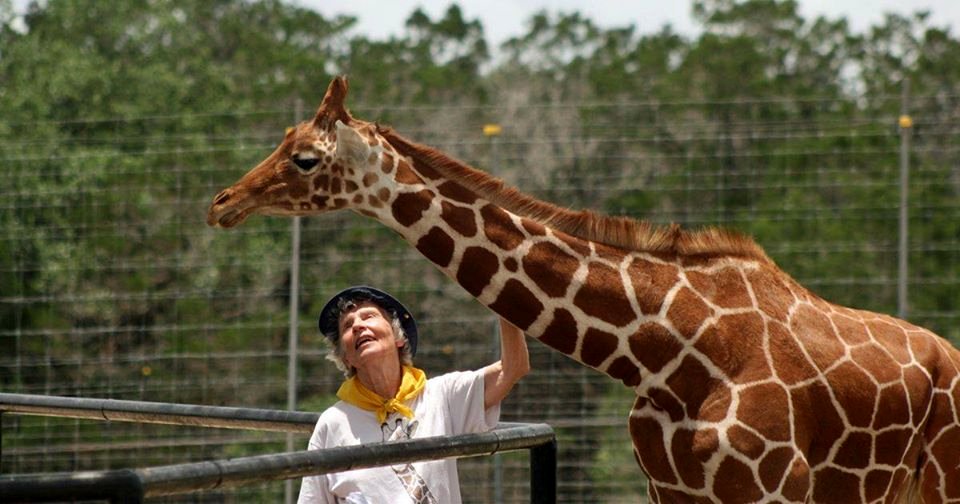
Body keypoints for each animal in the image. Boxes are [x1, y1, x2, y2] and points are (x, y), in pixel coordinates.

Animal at [207, 76, 960, 503]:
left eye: (306, 158)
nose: (222, 202)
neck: (672, 354)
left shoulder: (777, 489)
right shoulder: (675, 492)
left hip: (943, 476)